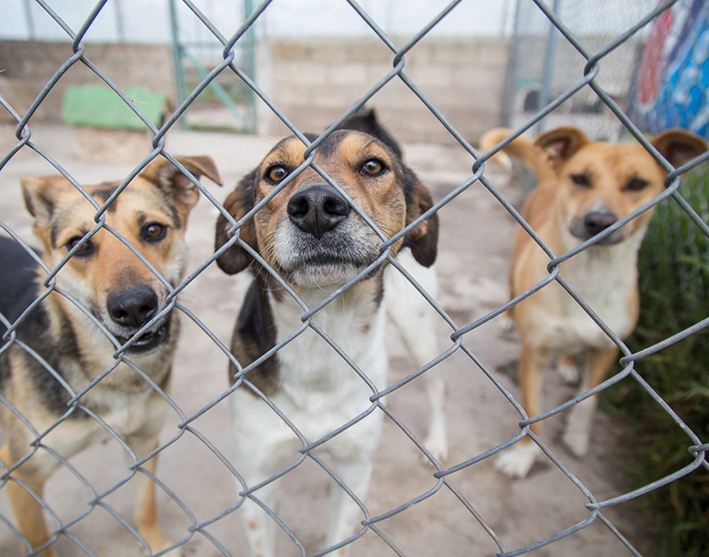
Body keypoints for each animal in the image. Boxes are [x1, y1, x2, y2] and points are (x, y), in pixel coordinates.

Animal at [0, 155, 220, 552]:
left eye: (153, 230)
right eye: (78, 244)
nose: (133, 307)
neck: (112, 374)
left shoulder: (144, 441)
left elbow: (145, 507)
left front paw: (158, 546)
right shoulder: (22, 469)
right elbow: (40, 541)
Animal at [214, 128, 436, 552]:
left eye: (373, 166)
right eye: (277, 172)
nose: (316, 205)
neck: (322, 329)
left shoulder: (355, 469)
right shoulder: (255, 476)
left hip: (419, 324)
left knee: (439, 384)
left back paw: (438, 442)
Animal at [482, 126, 708, 478]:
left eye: (637, 184)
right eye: (580, 179)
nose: (600, 221)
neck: (588, 277)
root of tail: (551, 180)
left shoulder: (609, 350)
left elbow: (587, 401)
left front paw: (576, 437)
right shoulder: (534, 353)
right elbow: (532, 411)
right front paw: (523, 456)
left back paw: (567, 363)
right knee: (510, 288)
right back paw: (508, 319)